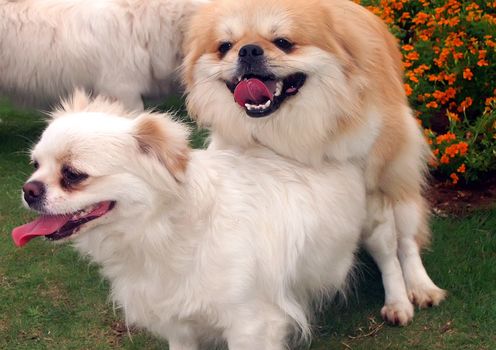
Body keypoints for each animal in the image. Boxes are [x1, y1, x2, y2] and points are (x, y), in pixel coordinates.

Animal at [13, 91, 366, 348]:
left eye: (73, 175)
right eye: (35, 165)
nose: (29, 189)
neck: (163, 234)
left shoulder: (251, 325)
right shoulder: (179, 326)